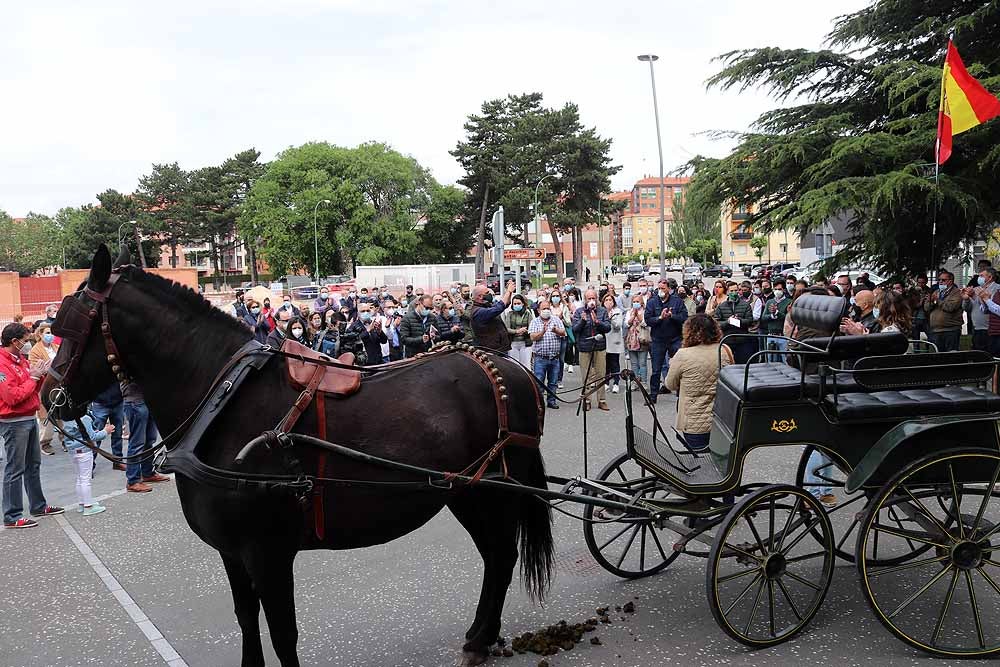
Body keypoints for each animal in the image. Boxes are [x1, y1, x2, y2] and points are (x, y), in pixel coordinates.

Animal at [43, 247, 552, 667]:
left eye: (71, 325)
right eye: (55, 327)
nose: (49, 395)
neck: (223, 401)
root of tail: (510, 369)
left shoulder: (268, 551)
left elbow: (282, 633)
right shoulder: (232, 551)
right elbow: (246, 617)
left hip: (489, 494)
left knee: (501, 556)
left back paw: (481, 638)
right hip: (465, 492)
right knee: (495, 558)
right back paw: (481, 636)